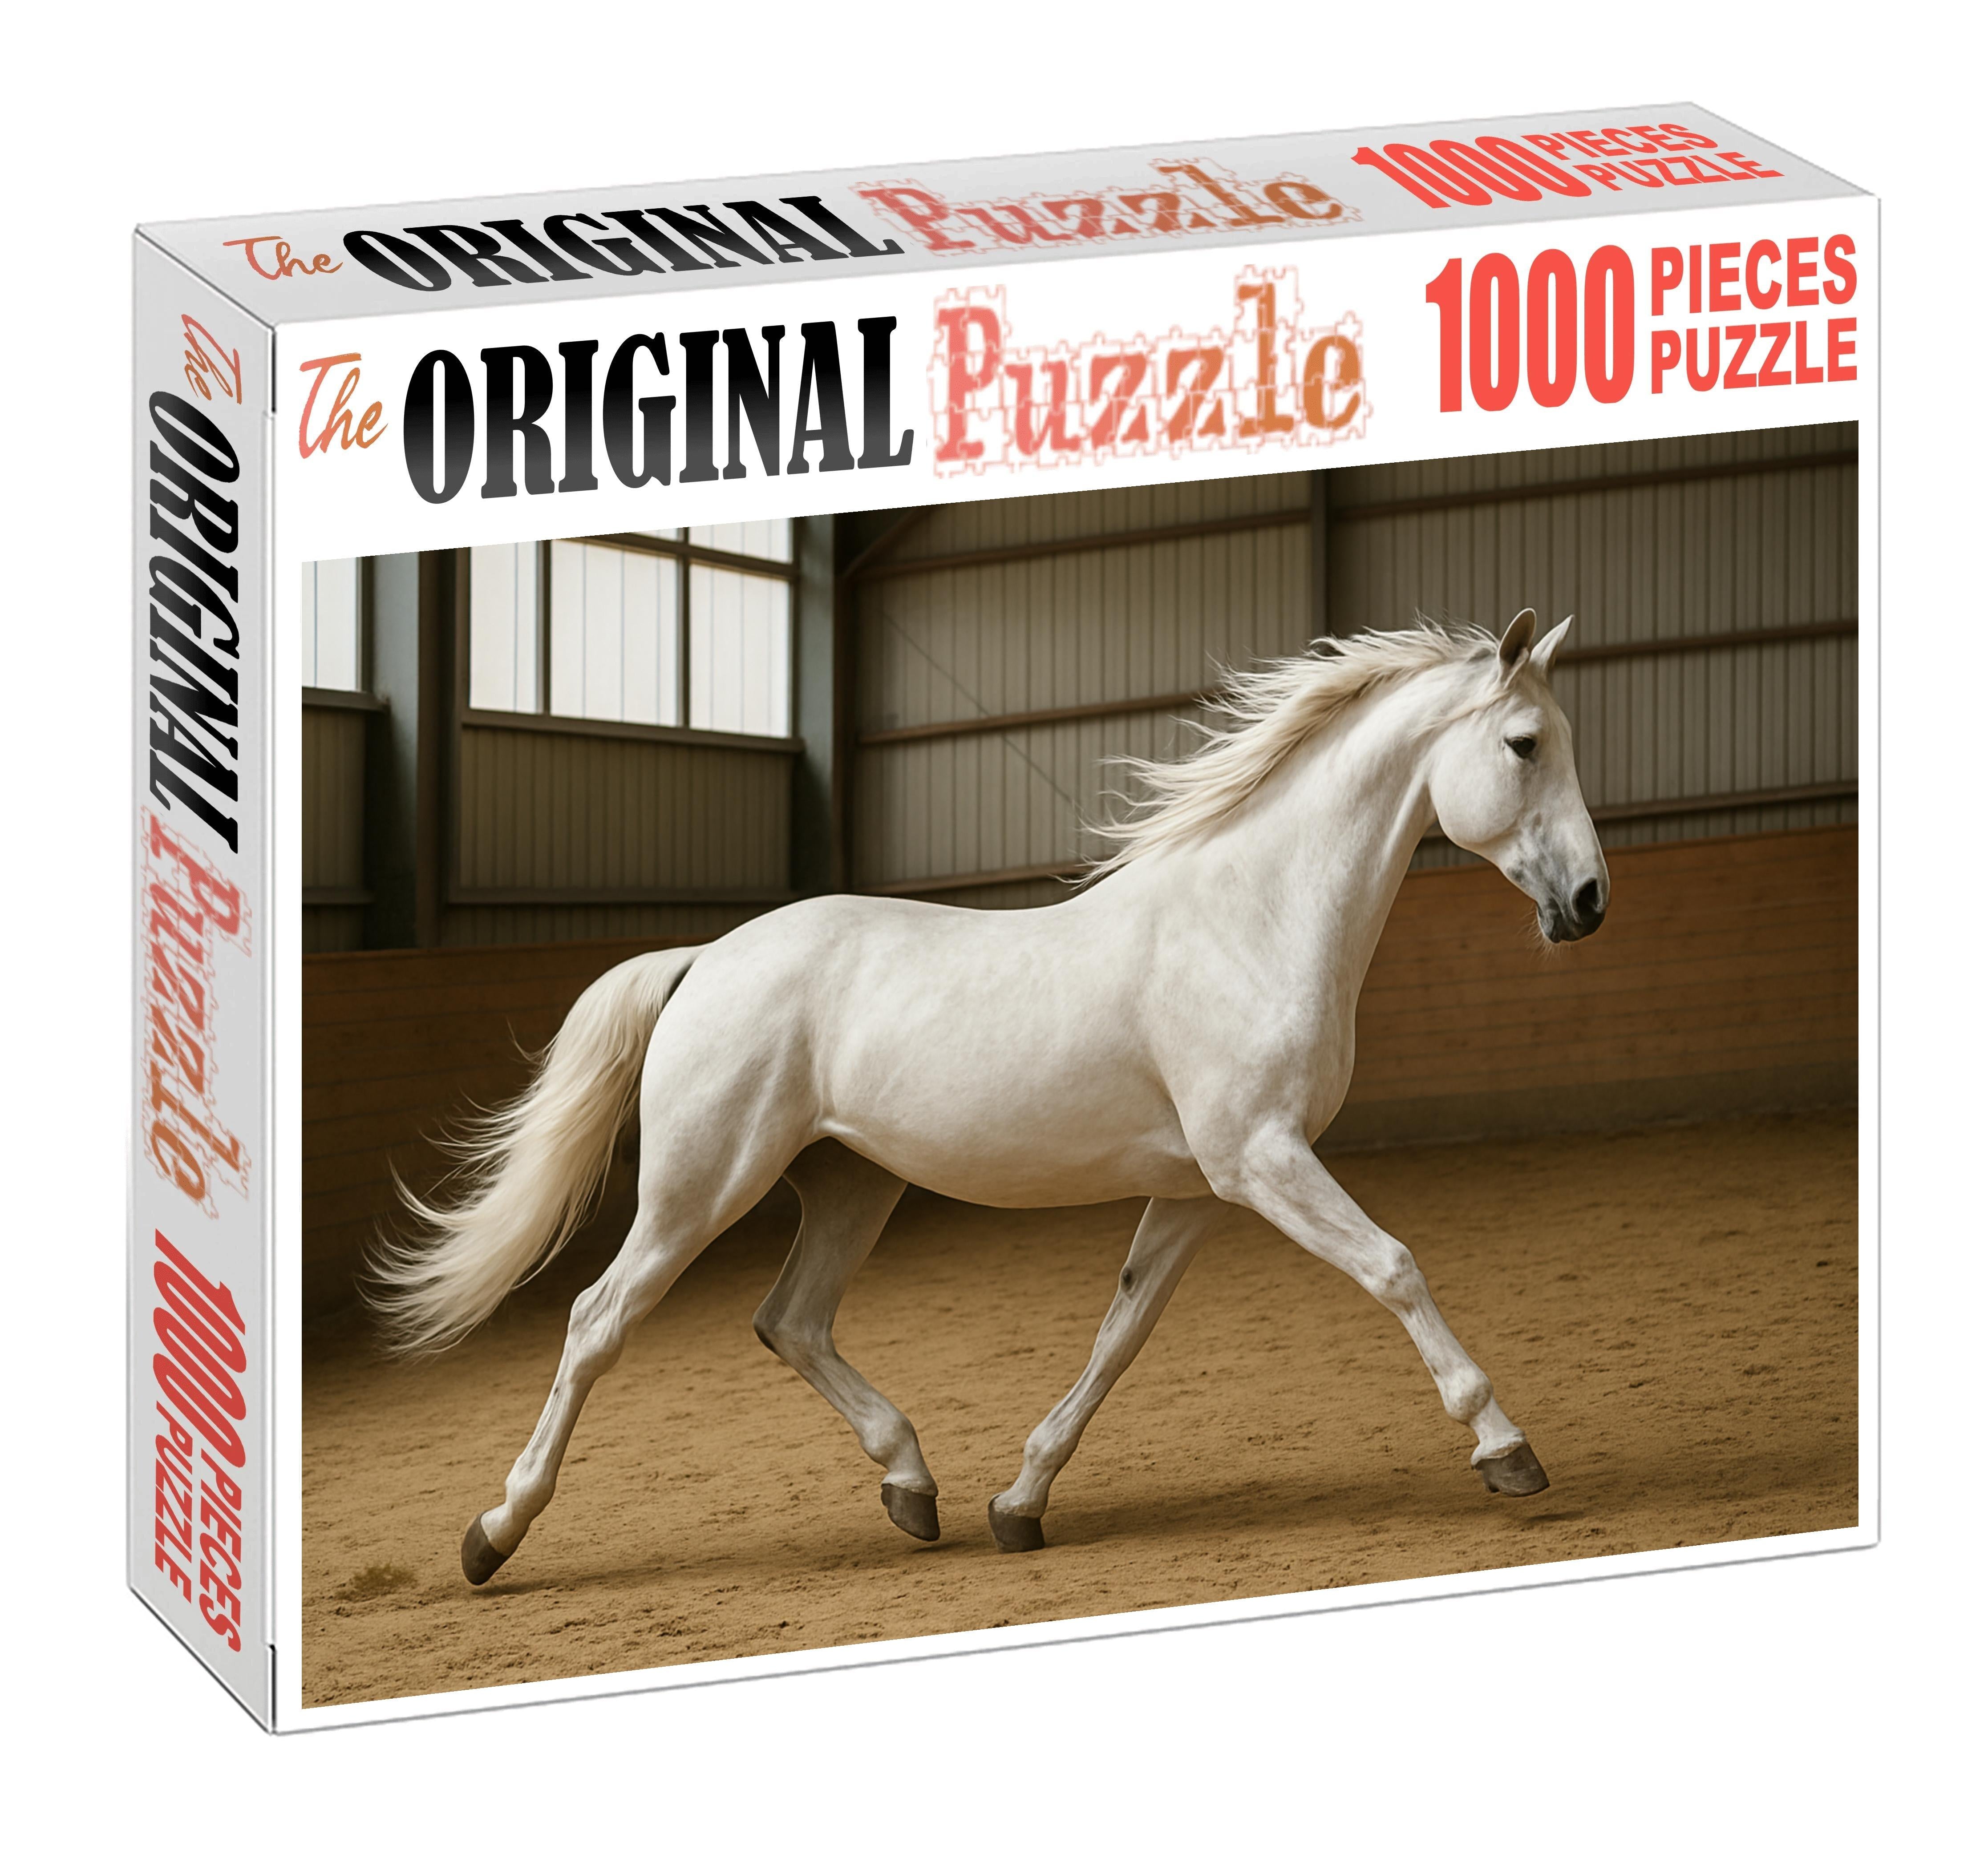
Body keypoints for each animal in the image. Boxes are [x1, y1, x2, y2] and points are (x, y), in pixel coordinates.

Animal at [370, 608, 1609, 1585]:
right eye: (1523, 743)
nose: (1590, 902)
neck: (1247, 919)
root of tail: (706, 958)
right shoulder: (1261, 1158)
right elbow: (1394, 1266)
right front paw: (1506, 1450)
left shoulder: (1204, 1187)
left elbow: (1120, 1333)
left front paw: (1020, 1503)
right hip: (700, 1184)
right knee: (598, 1320)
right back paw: (494, 1533)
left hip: (851, 1184)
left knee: (790, 1320)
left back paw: (912, 1487)